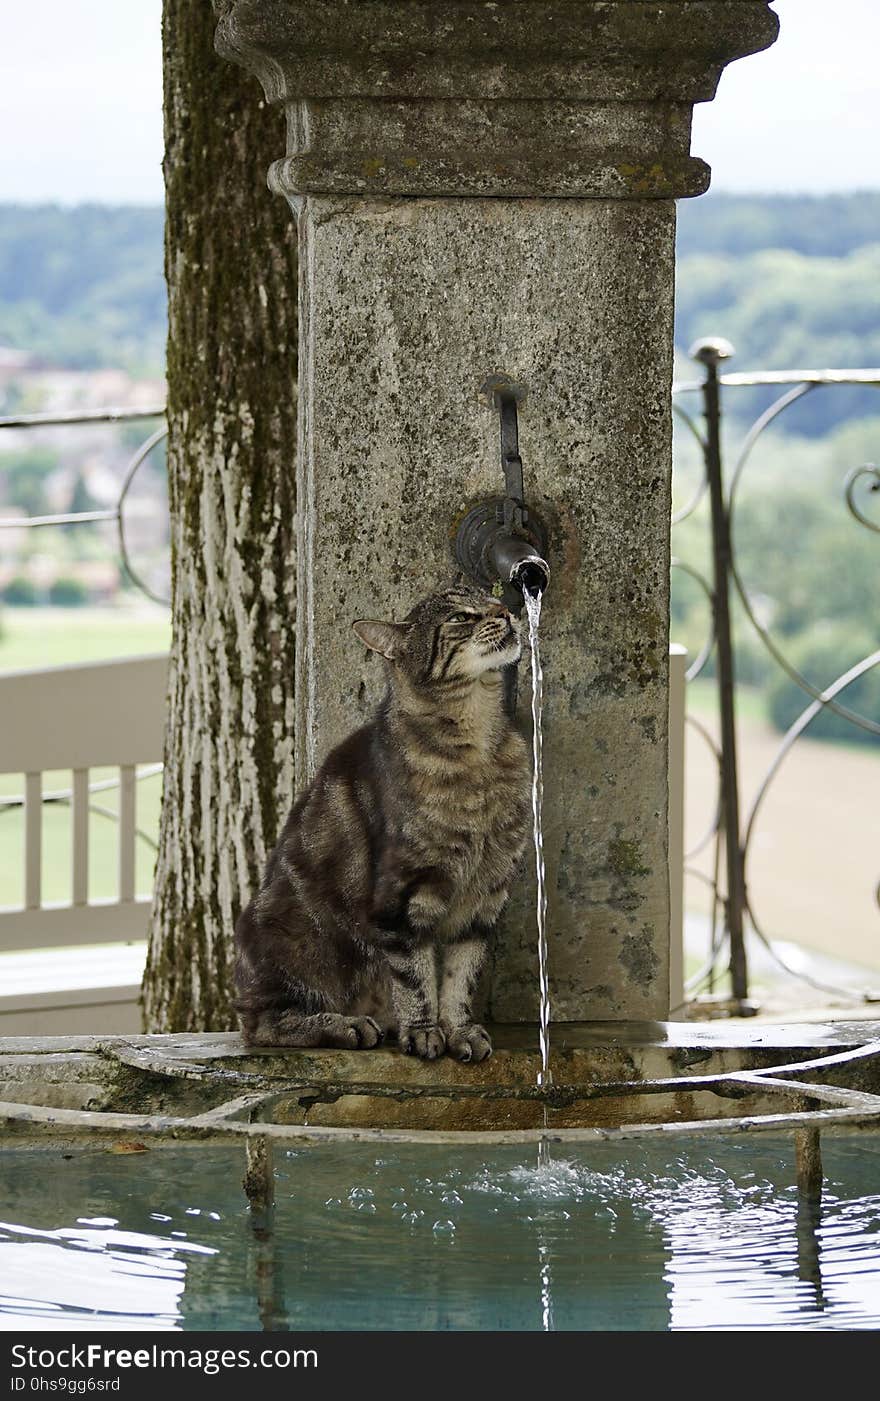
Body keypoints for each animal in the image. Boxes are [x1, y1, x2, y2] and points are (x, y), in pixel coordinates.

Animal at [234, 582, 529, 1059]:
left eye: (488, 598)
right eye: (458, 618)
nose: (505, 609)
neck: (479, 743)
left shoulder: (484, 898)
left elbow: (460, 978)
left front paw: (459, 1030)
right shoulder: (402, 895)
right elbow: (415, 977)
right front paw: (423, 1032)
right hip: (293, 944)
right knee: (261, 1024)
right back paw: (346, 1026)